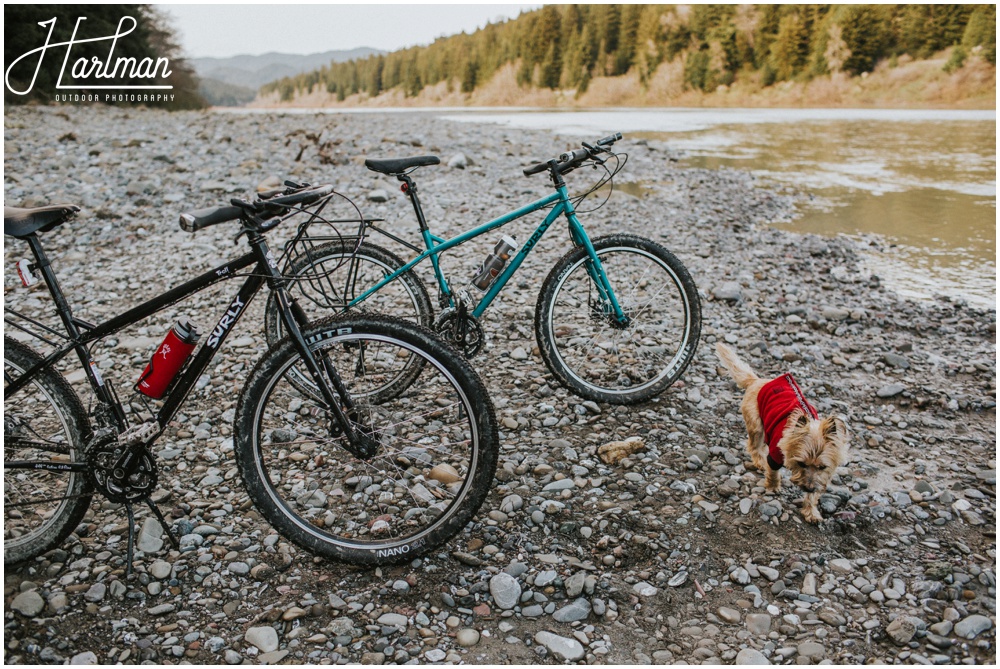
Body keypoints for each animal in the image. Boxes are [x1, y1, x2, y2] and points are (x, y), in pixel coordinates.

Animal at [716, 344, 848, 520]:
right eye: (801, 463)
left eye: (821, 467)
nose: (808, 487)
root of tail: (757, 381)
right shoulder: (775, 455)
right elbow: (773, 471)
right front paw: (772, 487)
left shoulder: (823, 474)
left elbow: (815, 493)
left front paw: (811, 511)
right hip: (756, 425)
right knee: (754, 445)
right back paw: (759, 461)